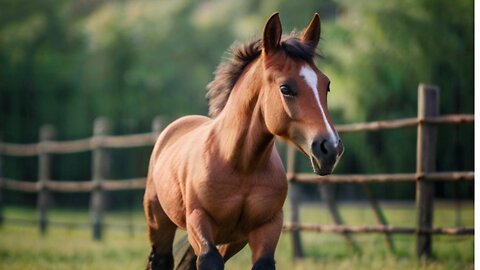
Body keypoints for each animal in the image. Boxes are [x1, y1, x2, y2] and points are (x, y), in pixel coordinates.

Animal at [144, 12, 344, 270]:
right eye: (285, 88)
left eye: (326, 85)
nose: (330, 148)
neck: (240, 165)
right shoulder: (198, 220)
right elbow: (209, 260)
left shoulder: (267, 226)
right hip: (160, 225)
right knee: (161, 259)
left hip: (232, 240)